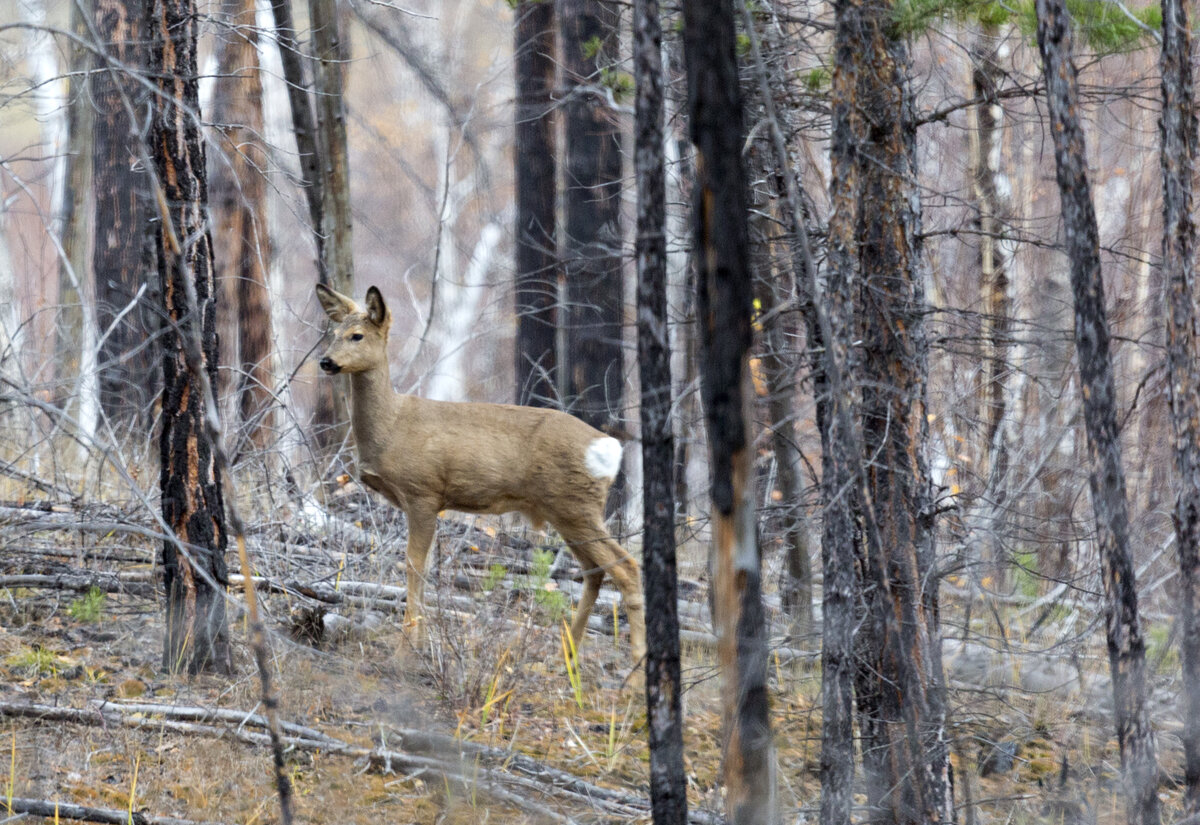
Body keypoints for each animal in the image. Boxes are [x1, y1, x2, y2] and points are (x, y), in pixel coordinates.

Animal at [314, 282, 643, 661]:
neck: (392, 426)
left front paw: (404, 650)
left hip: (576, 506)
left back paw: (634, 669)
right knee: (594, 571)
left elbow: (413, 565)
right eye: (332, 333)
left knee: (626, 567)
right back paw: (565, 657)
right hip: (568, 510)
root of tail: (609, 447)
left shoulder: (423, 491)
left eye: (357, 335)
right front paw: (422, 644)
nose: (326, 361)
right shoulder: (426, 502)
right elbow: (426, 567)